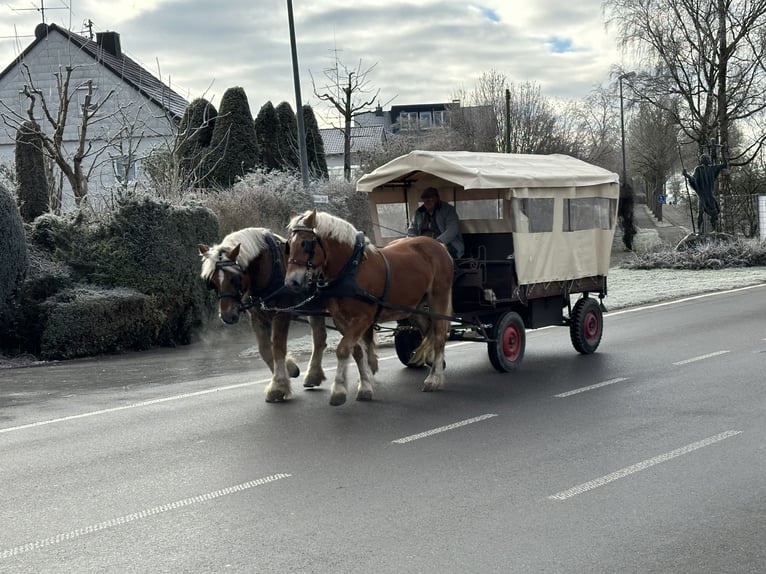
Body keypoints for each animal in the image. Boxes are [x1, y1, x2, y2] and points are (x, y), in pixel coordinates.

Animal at [198, 227, 328, 402]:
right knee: (319, 337)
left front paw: (278, 387)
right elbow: (265, 349)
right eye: (212, 282)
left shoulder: (281, 314)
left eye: (234, 278)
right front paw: (288, 370)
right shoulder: (257, 317)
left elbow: (278, 347)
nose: (226, 316)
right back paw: (313, 376)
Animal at [288, 209, 456, 408]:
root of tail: (438, 245)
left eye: (305, 243)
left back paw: (434, 378)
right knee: (427, 330)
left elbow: (343, 349)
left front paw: (338, 390)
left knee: (439, 336)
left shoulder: (363, 319)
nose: (291, 282)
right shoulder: (341, 320)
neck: (351, 269)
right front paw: (365, 386)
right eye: (288, 244)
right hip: (413, 306)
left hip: (439, 297)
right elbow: (357, 351)